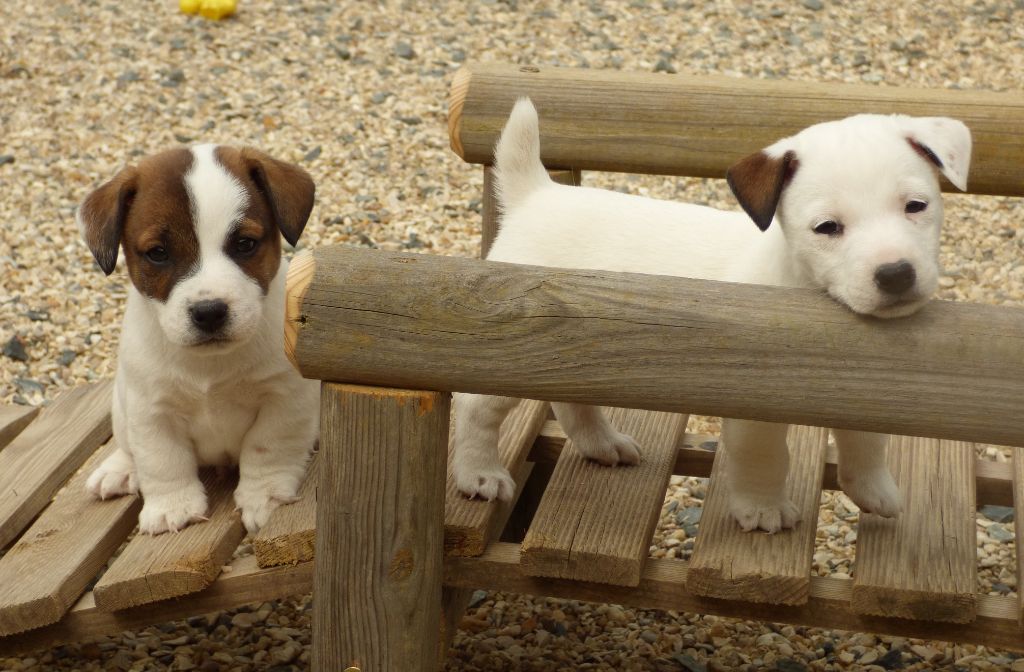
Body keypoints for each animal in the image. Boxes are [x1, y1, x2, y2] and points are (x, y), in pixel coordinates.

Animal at [76, 144, 319, 532]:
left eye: (245, 244)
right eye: (158, 253)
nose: (209, 312)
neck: (210, 365)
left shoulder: (286, 398)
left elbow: (267, 446)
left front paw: (264, 494)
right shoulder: (150, 411)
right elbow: (163, 459)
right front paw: (171, 506)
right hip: (121, 405)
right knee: (129, 446)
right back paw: (120, 469)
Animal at [452, 97, 970, 532]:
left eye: (916, 206)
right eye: (827, 228)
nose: (896, 274)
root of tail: (537, 196)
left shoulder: (864, 393)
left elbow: (866, 442)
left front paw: (872, 490)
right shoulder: (755, 405)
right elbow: (765, 455)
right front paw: (763, 509)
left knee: (573, 403)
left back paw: (603, 445)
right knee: (477, 409)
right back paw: (479, 472)